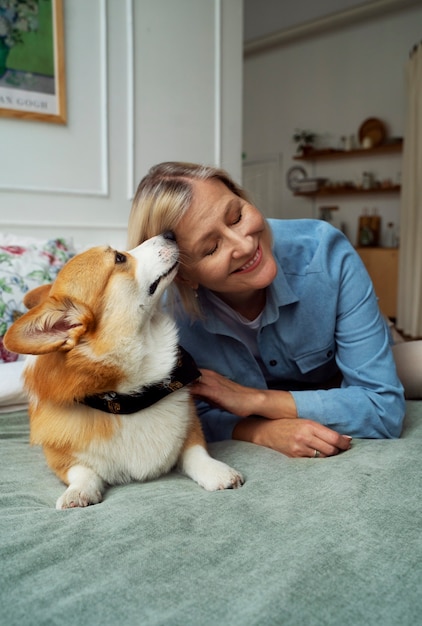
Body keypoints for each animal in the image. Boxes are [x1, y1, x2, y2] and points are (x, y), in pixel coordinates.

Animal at [4, 233, 244, 508]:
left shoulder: (190, 427)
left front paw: (217, 472)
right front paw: (77, 493)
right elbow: (82, 471)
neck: (129, 397)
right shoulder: (60, 456)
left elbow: (196, 452)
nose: (170, 233)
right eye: (119, 258)